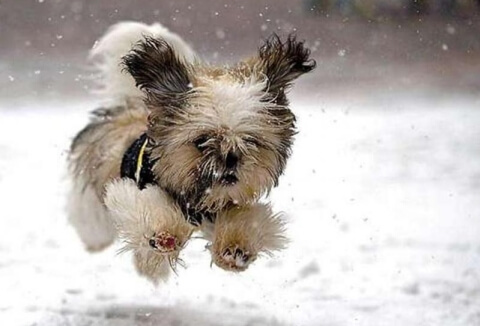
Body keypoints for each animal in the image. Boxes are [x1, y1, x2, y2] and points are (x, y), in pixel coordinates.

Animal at [68, 21, 316, 282]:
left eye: (250, 140)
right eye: (202, 140)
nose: (231, 158)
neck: (197, 200)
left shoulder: (231, 205)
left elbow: (249, 219)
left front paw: (236, 249)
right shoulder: (133, 189)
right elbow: (149, 207)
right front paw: (164, 234)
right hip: (91, 207)